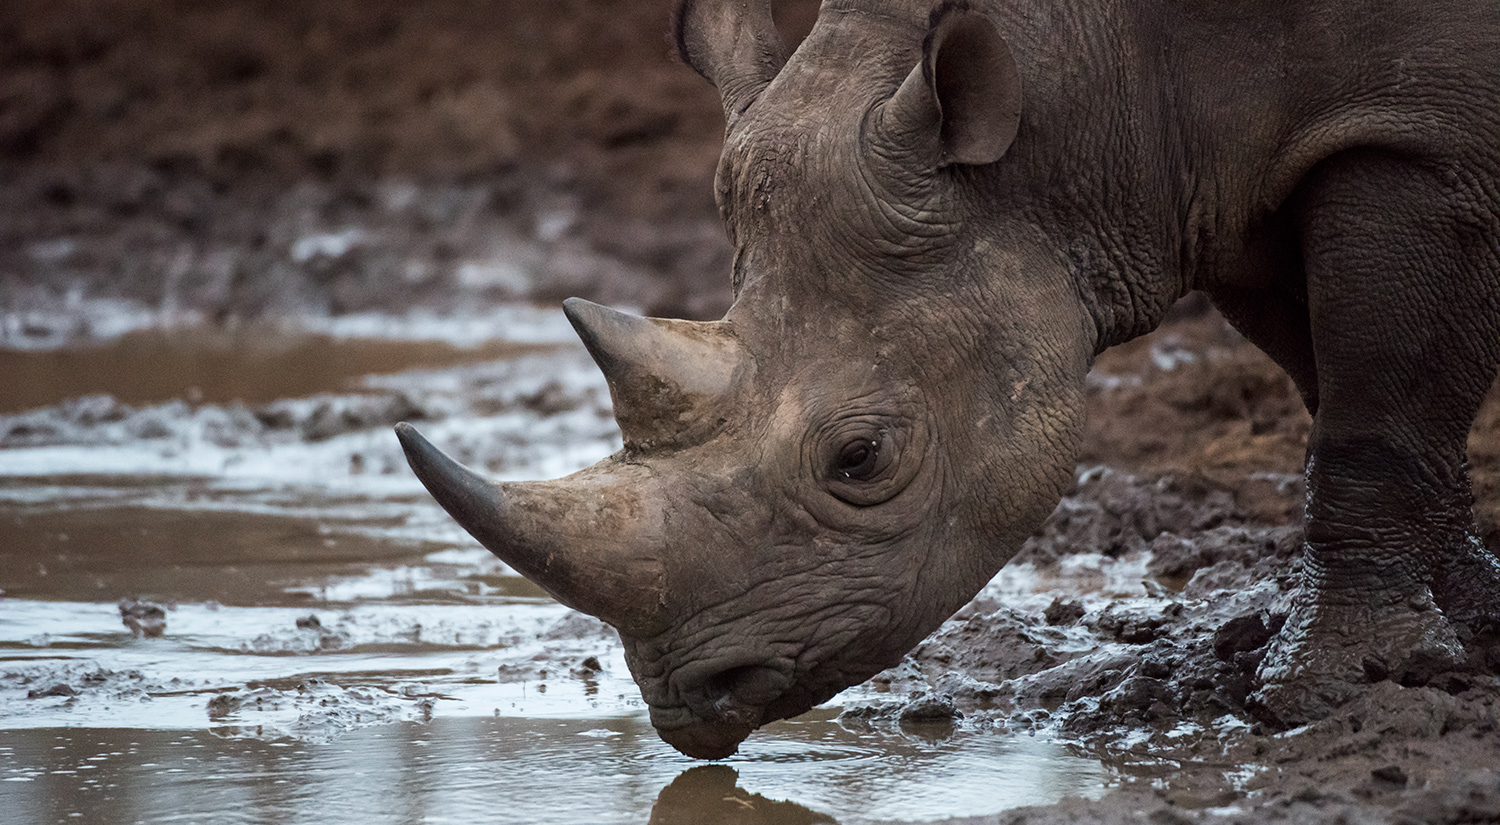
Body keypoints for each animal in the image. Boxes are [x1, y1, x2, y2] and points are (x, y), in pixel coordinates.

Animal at [395, 0, 1500, 758]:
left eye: (860, 458)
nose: (687, 706)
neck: (1082, 97)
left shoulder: (1417, 138)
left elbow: (1371, 414)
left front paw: (1323, 688)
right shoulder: (1234, 175)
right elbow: (1341, 387)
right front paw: (1471, 630)